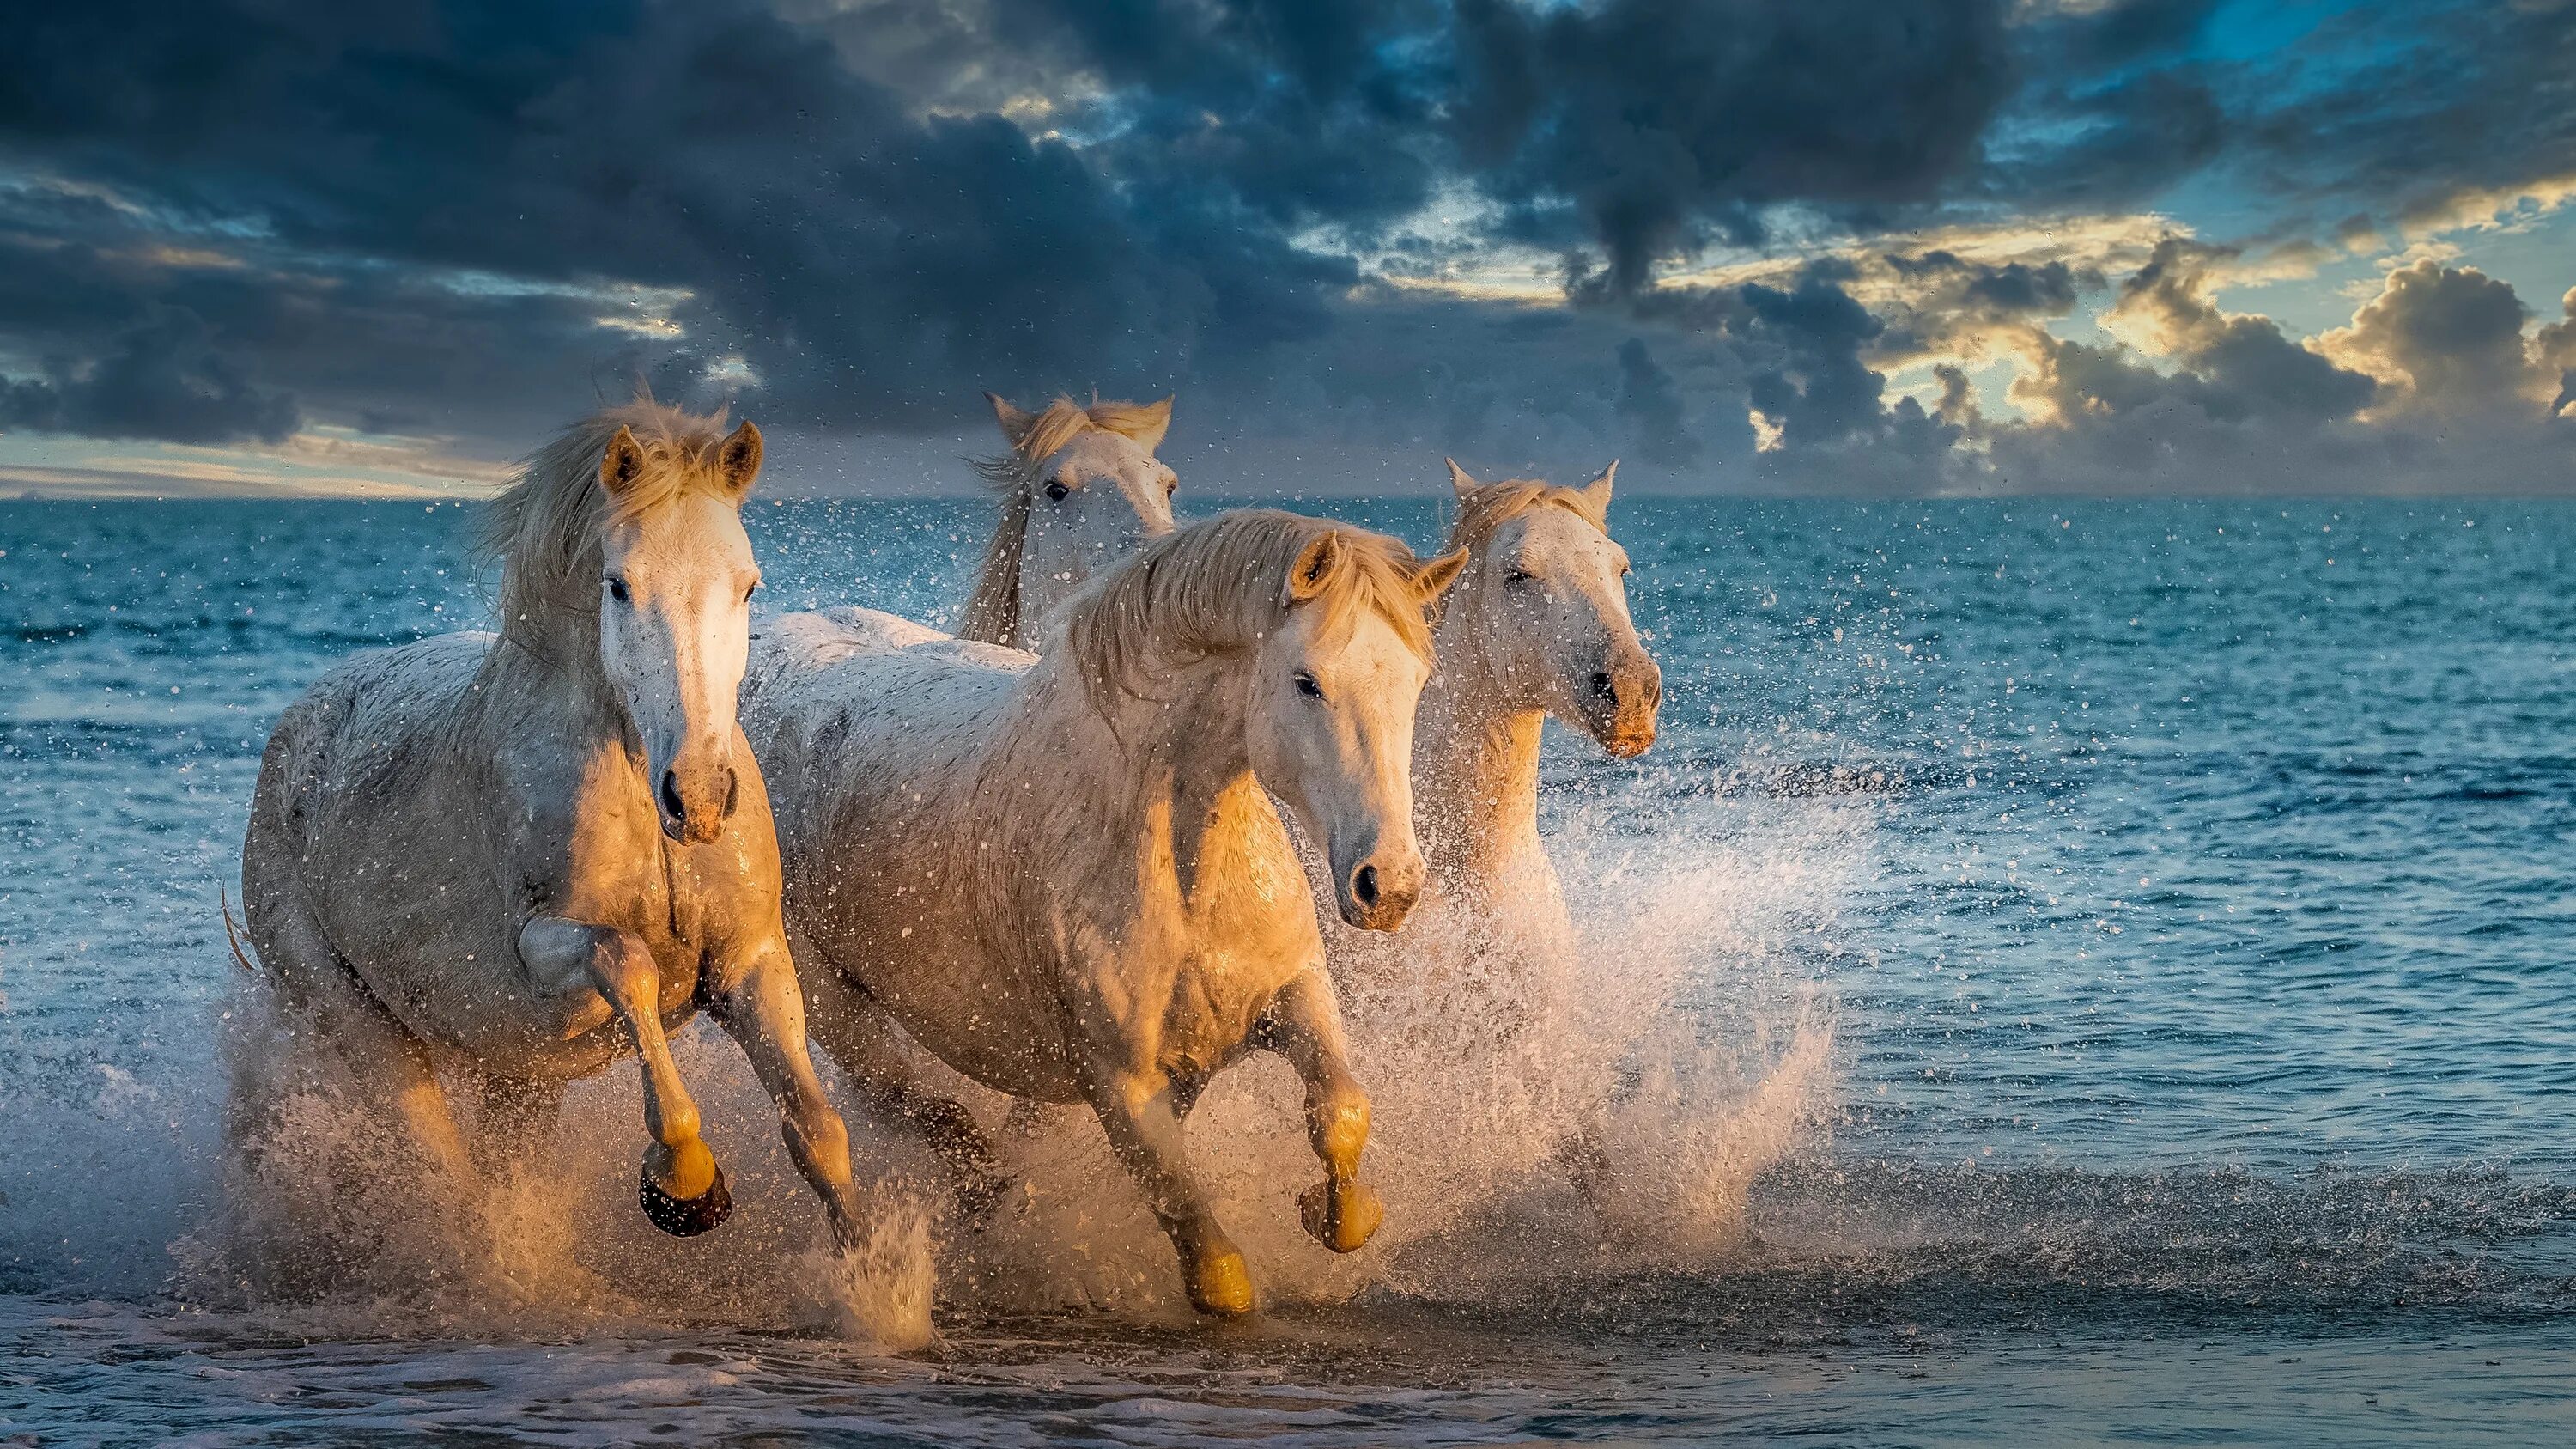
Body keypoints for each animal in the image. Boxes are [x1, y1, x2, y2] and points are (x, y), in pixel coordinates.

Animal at [237, 397, 871, 1252]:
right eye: (620, 586)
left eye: (747, 586)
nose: (699, 798)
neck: (639, 792)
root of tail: (292, 734)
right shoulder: (540, 947)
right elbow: (628, 962)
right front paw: (686, 1181)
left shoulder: (750, 959)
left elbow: (818, 1130)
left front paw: (883, 1283)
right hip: (363, 1029)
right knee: (443, 1177)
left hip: (518, 1075)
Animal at [747, 510, 1473, 1309]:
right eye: (1306, 681)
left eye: (1417, 682)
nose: (1390, 885)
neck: (1185, 876)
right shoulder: (1121, 1086)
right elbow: (1215, 1269)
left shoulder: (1293, 995)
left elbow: (1341, 1108)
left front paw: (1339, 1213)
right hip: (830, 1009)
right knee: (919, 1110)